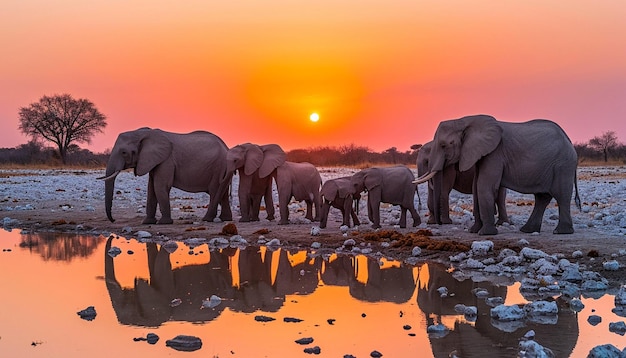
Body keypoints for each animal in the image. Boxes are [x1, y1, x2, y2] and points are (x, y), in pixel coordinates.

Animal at [100, 128, 232, 224]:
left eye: (124, 152)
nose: (113, 220)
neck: (143, 133)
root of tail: (226, 147)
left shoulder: (166, 160)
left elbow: (160, 186)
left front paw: (164, 222)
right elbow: (151, 189)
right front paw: (147, 222)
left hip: (217, 167)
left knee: (215, 191)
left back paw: (207, 219)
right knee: (223, 194)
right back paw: (225, 219)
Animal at [414, 114, 580, 235]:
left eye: (444, 145)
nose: (439, 224)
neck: (465, 121)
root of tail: (569, 141)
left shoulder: (495, 153)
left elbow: (483, 186)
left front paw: (485, 233)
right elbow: (476, 187)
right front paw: (474, 231)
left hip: (563, 165)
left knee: (561, 195)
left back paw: (561, 232)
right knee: (542, 197)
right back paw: (528, 230)